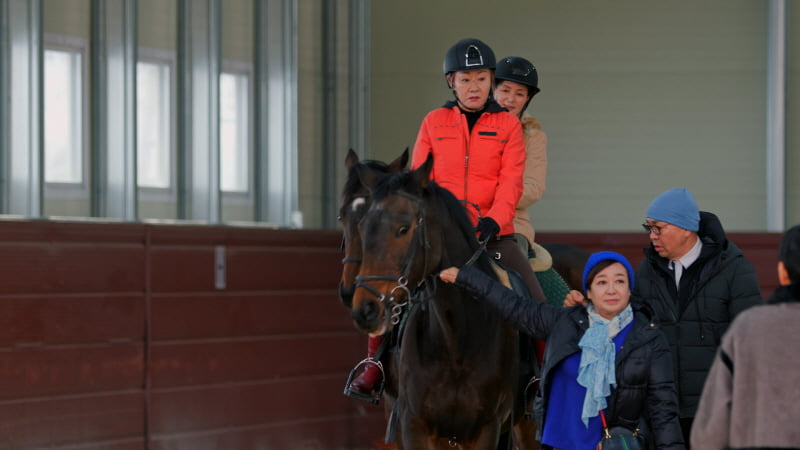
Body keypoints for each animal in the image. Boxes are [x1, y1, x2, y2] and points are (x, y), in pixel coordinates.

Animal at [350, 154, 520, 446]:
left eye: (403, 228)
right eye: (363, 227)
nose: (366, 310)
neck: (457, 337)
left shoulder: (488, 428)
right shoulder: (413, 425)